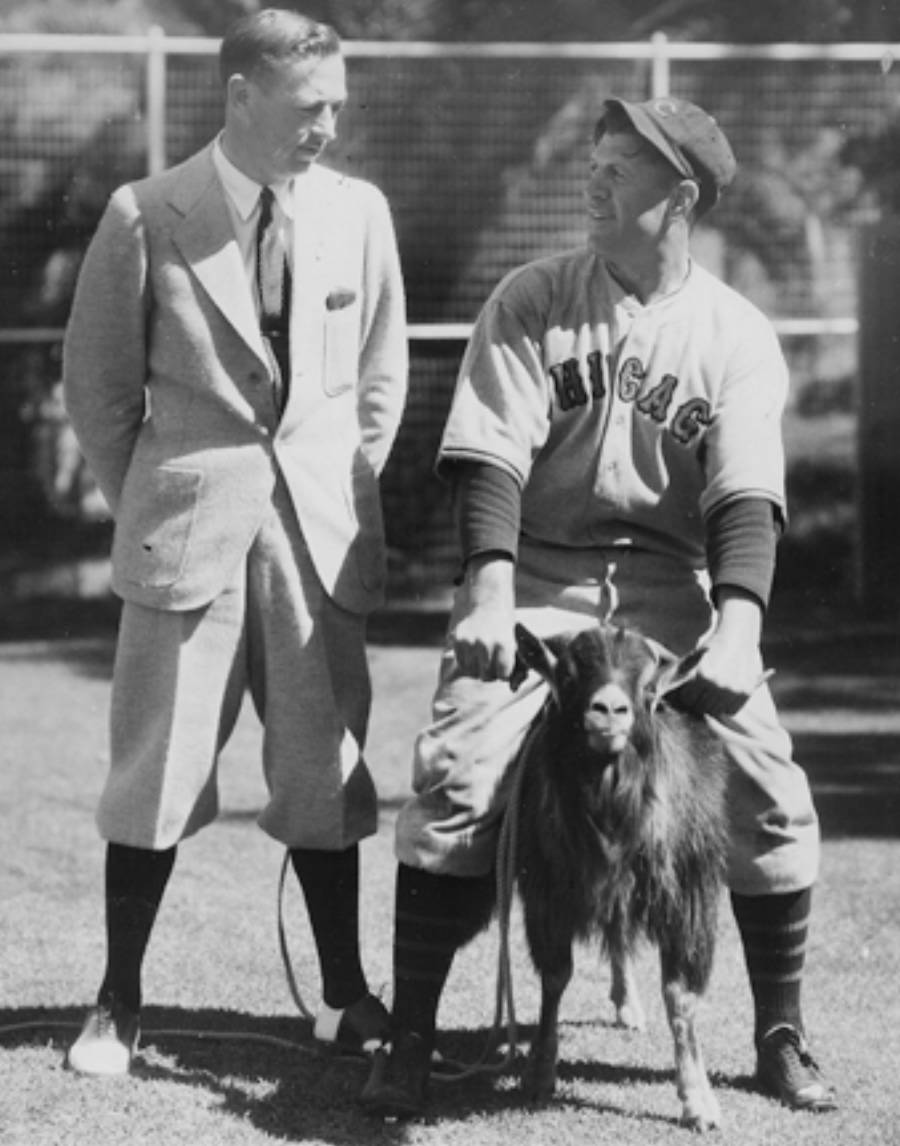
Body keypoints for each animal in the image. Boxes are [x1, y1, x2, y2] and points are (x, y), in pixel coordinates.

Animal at [509, 618, 724, 1127]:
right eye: (568, 677)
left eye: (648, 688)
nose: (609, 710)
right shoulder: (546, 893)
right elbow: (555, 977)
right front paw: (539, 1074)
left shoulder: (688, 898)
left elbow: (681, 995)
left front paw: (698, 1100)